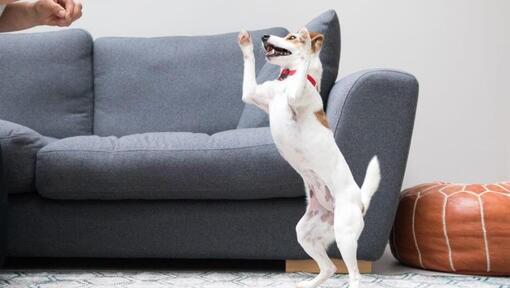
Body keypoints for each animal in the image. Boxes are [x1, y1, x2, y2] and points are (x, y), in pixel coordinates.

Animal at [237, 28, 380, 288]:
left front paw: (305, 45)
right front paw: (245, 42)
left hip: (344, 235)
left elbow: (304, 62)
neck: (287, 81)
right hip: (305, 232)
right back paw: (308, 284)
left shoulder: (295, 97)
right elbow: (249, 67)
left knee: (354, 274)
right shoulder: (252, 94)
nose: (264, 37)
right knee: (329, 267)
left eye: (291, 37)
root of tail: (361, 202)